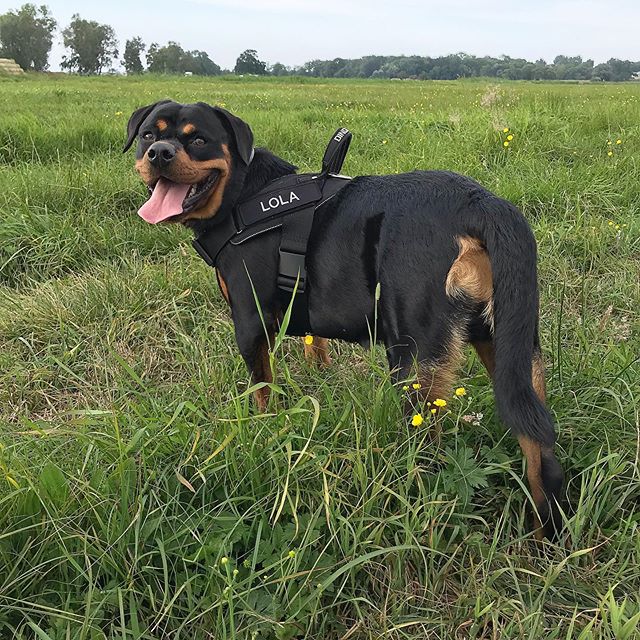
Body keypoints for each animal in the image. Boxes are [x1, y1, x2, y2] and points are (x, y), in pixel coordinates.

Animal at [125, 101, 564, 540]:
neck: (241, 194)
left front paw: (265, 430)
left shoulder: (249, 323)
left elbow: (263, 389)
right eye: (148, 135)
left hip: (414, 360)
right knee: (538, 441)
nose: (159, 153)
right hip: (512, 346)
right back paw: (545, 531)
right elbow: (315, 346)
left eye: (199, 139)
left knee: (431, 451)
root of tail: (481, 202)